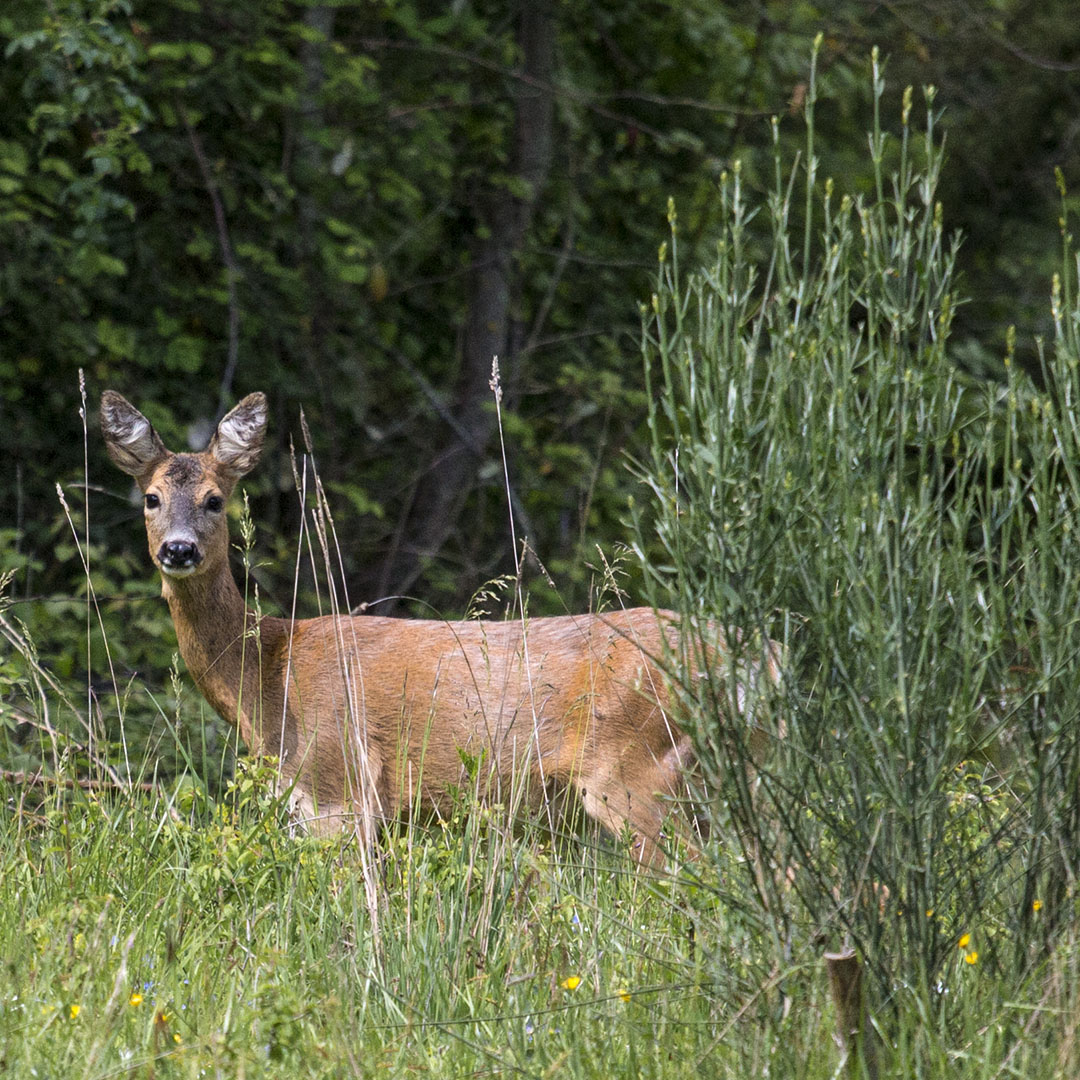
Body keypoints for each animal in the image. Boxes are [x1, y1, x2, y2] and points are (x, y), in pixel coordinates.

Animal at [101, 393, 781, 864]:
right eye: (151, 498)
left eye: (216, 500)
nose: (179, 550)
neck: (270, 678)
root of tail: (759, 661)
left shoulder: (340, 786)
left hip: (639, 770)